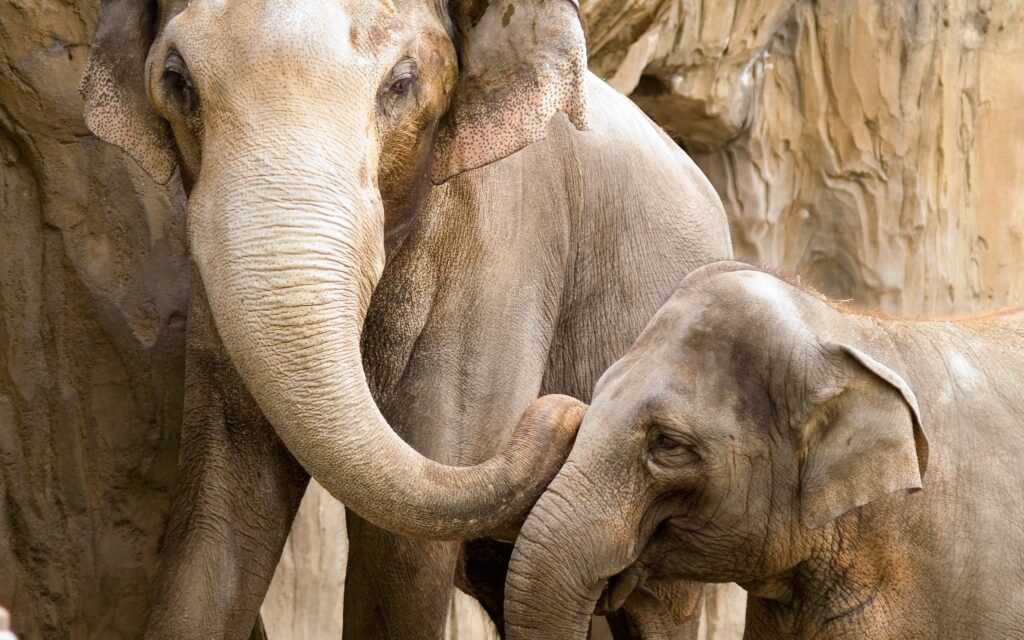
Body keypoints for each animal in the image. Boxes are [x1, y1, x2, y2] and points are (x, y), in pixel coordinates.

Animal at [80, 0, 734, 638]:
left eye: (402, 82)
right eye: (177, 80)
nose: (571, 412)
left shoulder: (504, 244)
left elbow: (401, 548)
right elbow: (221, 510)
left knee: (659, 608)